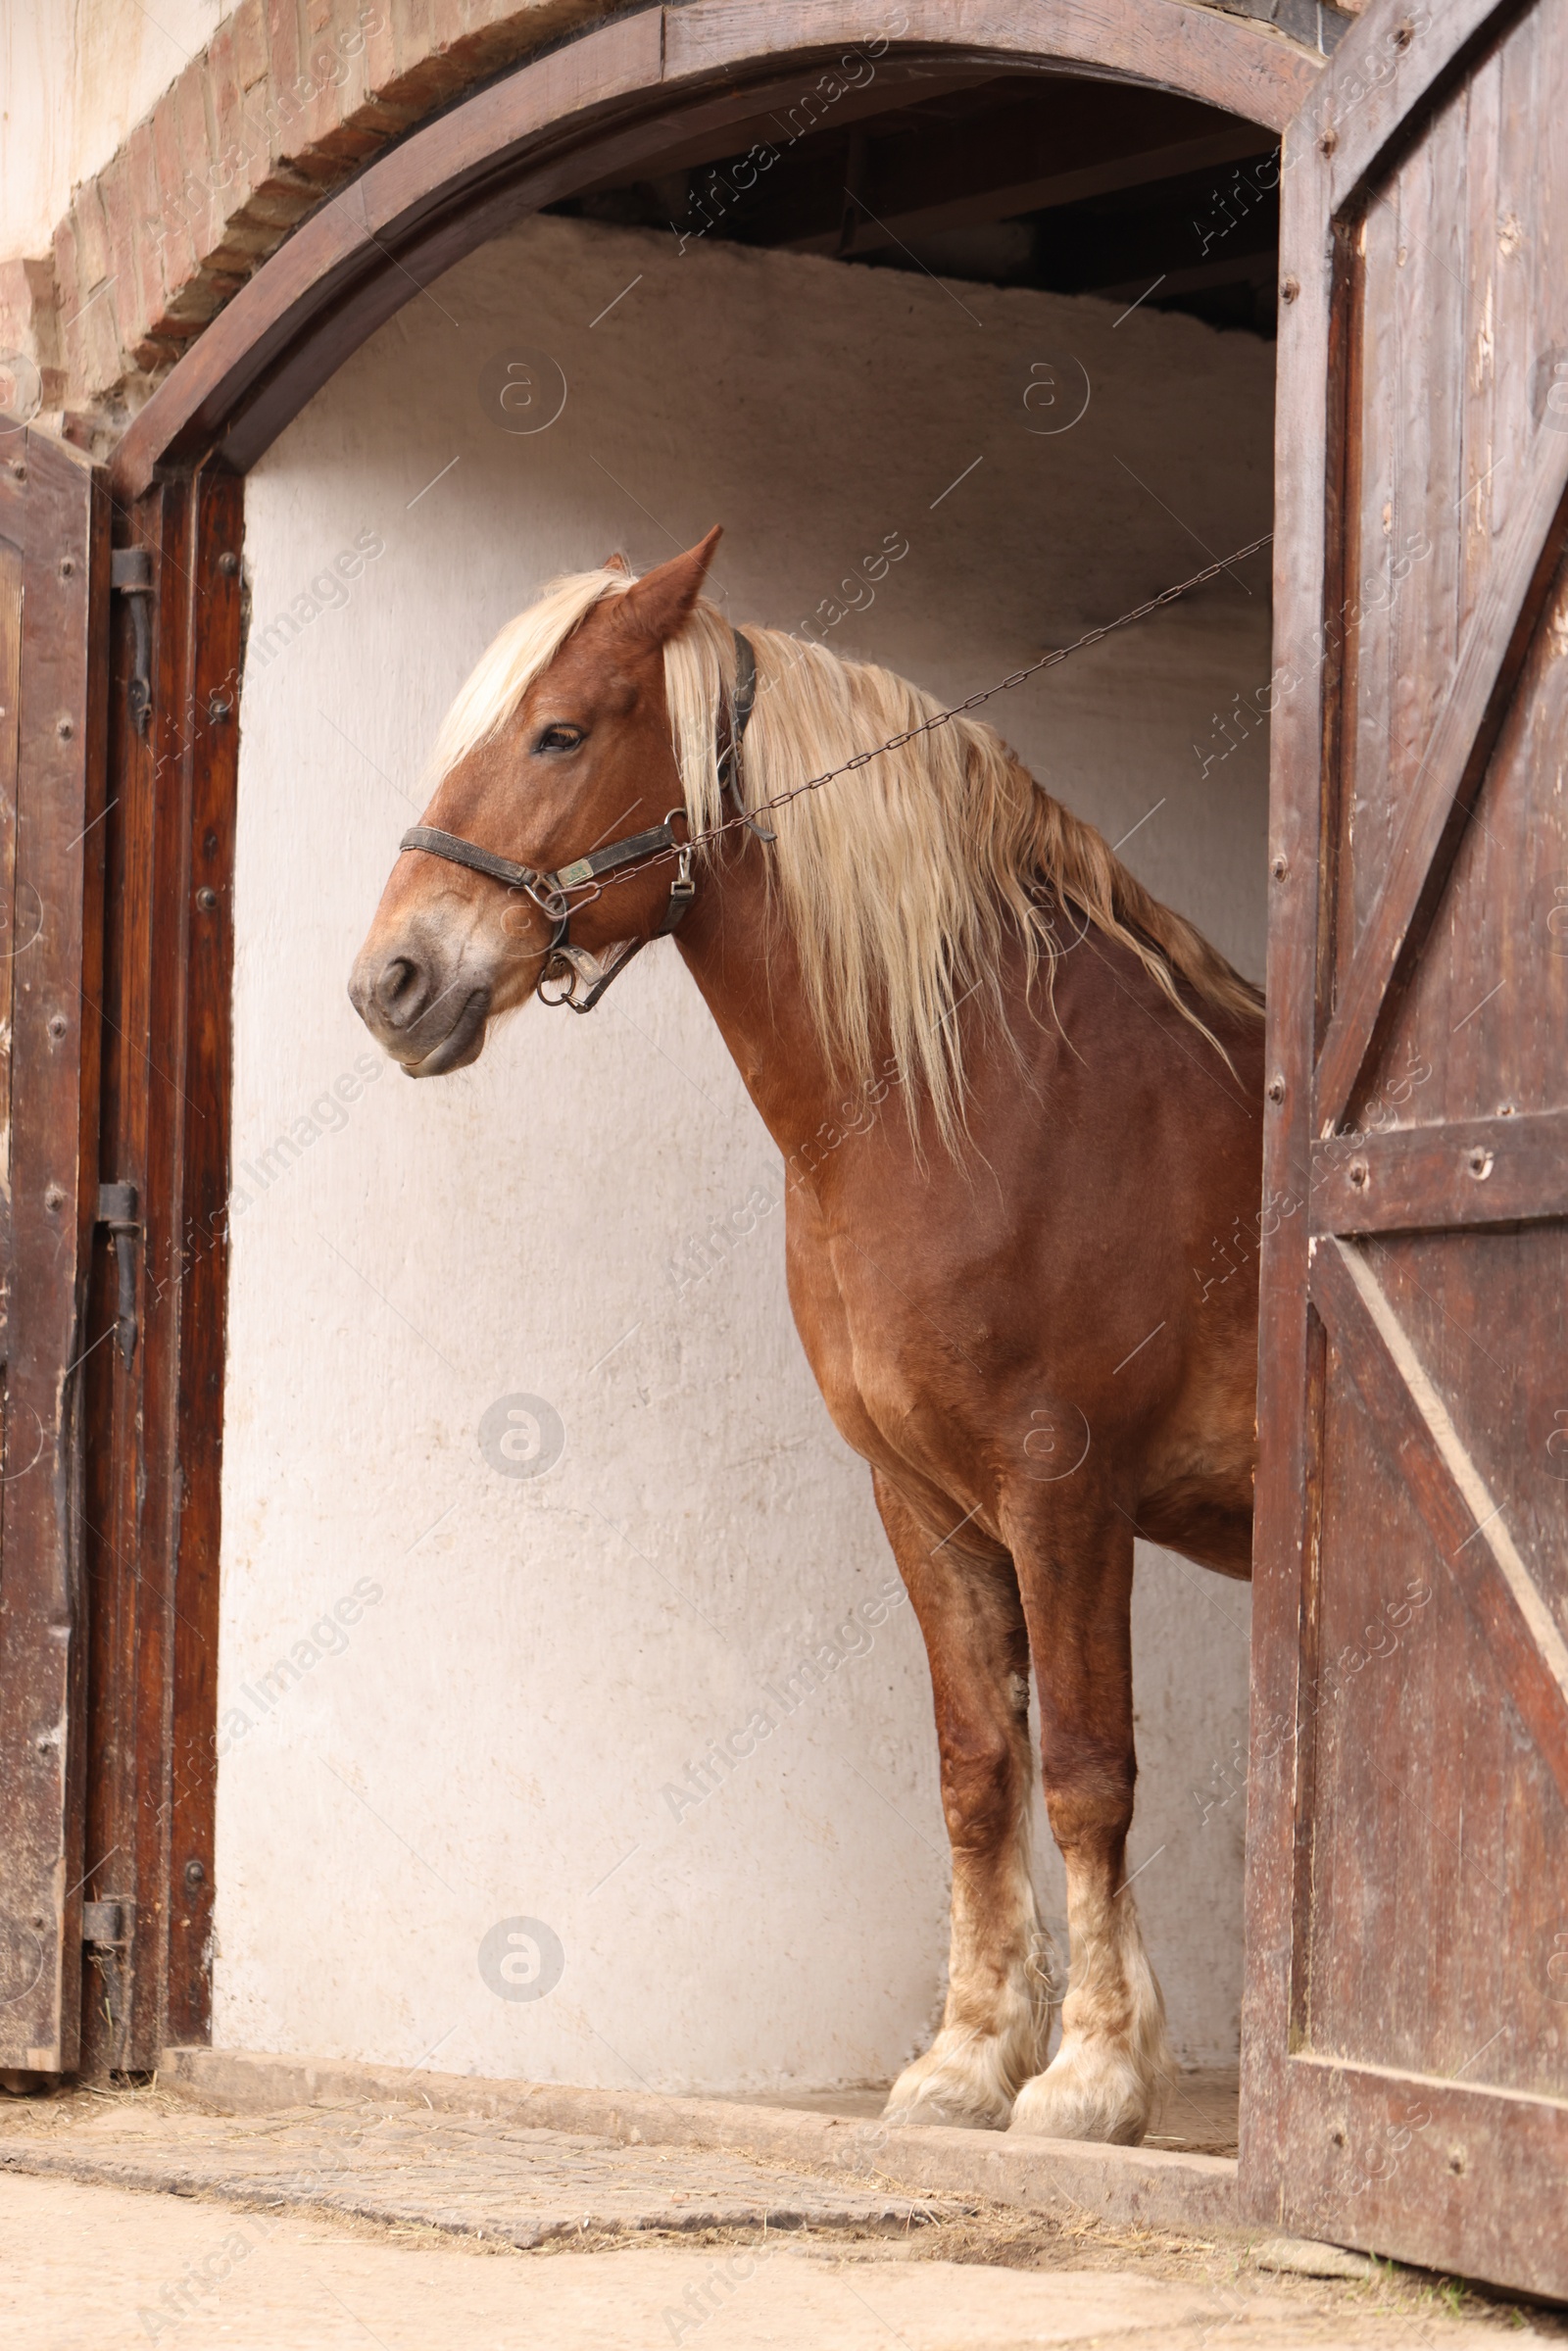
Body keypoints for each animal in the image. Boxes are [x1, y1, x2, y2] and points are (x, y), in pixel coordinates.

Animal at [350, 533, 1269, 2153]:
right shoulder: (925, 1499)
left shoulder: (1067, 1489)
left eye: (561, 733)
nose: (393, 982)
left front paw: (1094, 2073)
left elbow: (1087, 1768)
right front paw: (965, 2059)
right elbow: (978, 1770)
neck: (983, 1100)